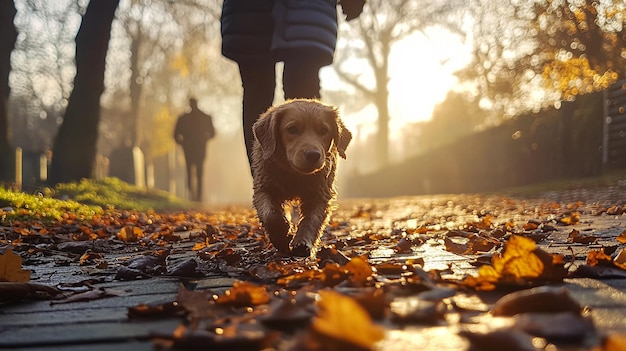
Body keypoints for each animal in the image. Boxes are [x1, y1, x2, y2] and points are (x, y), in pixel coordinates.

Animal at [252, 99, 352, 258]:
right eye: (292, 129)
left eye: (323, 130)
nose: (313, 155)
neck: (295, 175)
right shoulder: (263, 187)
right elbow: (270, 215)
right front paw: (282, 235)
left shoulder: (321, 194)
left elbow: (312, 220)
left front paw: (303, 242)